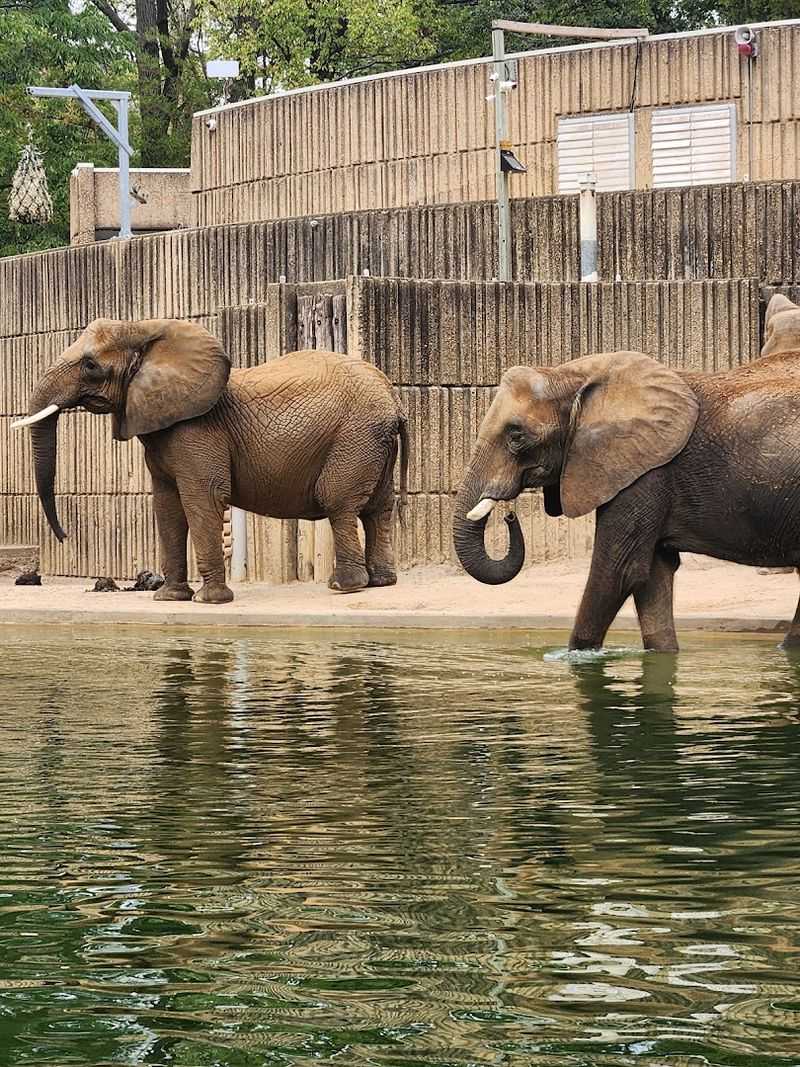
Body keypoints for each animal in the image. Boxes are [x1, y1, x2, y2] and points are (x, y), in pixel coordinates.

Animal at [15, 318, 408, 603]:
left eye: (91, 365)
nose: (64, 537)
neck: (144, 328)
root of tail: (395, 400)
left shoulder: (198, 431)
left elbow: (201, 500)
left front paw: (209, 601)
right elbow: (167, 506)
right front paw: (169, 598)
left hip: (355, 436)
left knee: (338, 501)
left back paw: (345, 586)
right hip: (373, 442)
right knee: (379, 507)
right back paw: (382, 582)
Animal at [453, 293, 800, 652]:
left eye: (516, 435)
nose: (509, 515)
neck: (571, 375)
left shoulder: (645, 473)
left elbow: (618, 572)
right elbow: (654, 573)